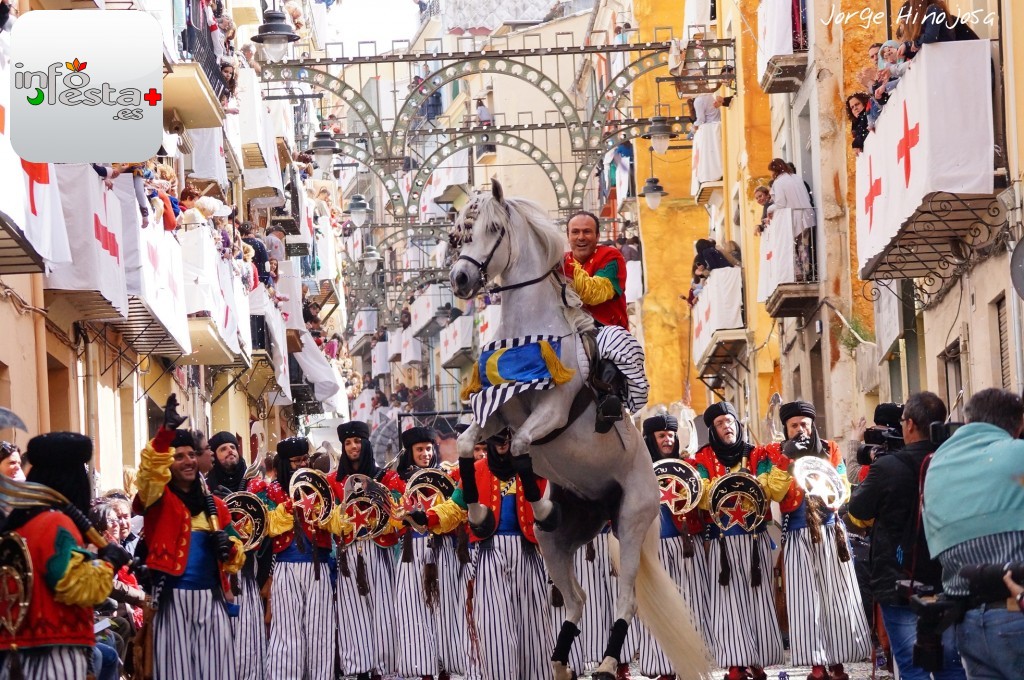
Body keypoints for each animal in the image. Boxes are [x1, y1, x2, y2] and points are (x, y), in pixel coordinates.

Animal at [448, 183, 712, 680]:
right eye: (462, 231)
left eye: (493, 229)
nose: (460, 279)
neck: (531, 336)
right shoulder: (496, 414)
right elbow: (467, 444)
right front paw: (480, 515)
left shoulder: (551, 412)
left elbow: (523, 445)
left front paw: (540, 503)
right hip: (558, 545)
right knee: (575, 599)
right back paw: (558, 663)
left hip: (630, 521)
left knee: (624, 599)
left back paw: (607, 661)